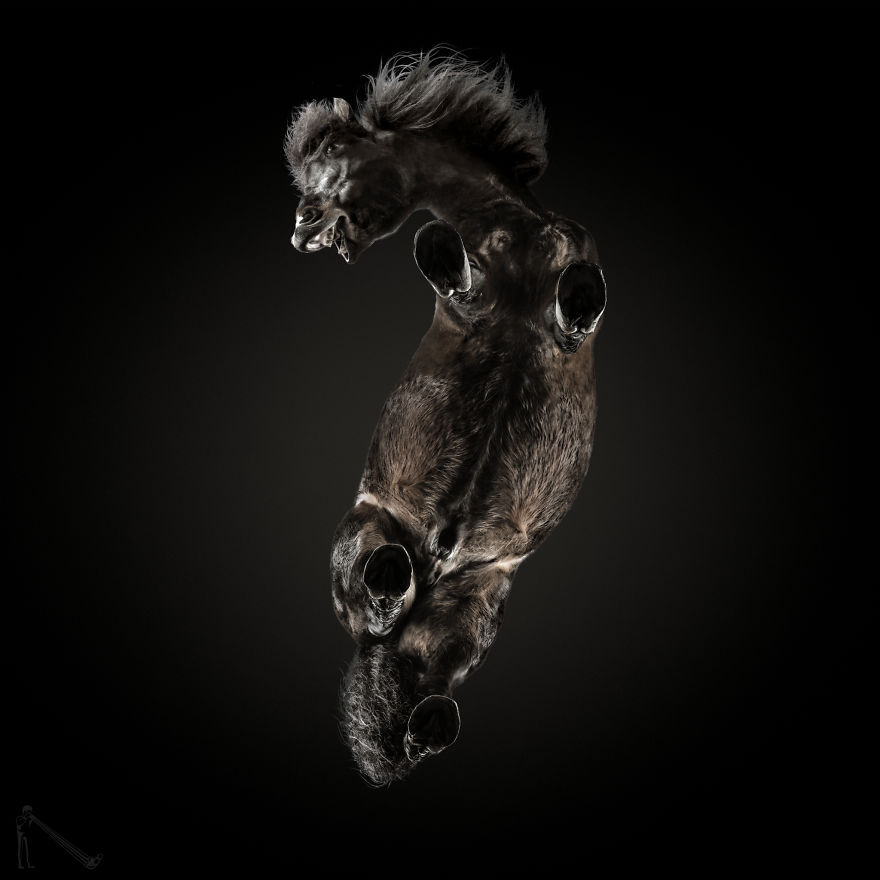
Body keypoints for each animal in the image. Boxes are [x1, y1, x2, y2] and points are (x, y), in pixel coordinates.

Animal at [285, 52, 606, 783]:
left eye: (334, 157)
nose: (302, 231)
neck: (518, 232)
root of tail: (435, 563)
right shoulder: (466, 301)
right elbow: (446, 257)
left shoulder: (574, 305)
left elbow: (578, 303)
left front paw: (572, 295)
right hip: (365, 534)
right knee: (374, 606)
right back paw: (390, 577)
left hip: (473, 611)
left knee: (423, 681)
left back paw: (430, 721)